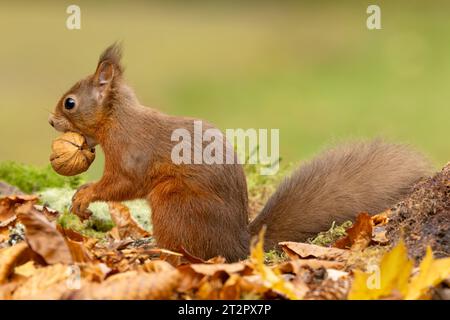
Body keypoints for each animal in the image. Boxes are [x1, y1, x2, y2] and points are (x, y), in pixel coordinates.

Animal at [49, 43, 432, 262]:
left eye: (69, 102)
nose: (51, 121)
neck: (117, 118)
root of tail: (237, 244)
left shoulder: (131, 155)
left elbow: (122, 184)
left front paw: (84, 196)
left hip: (173, 203)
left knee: (188, 252)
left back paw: (153, 248)